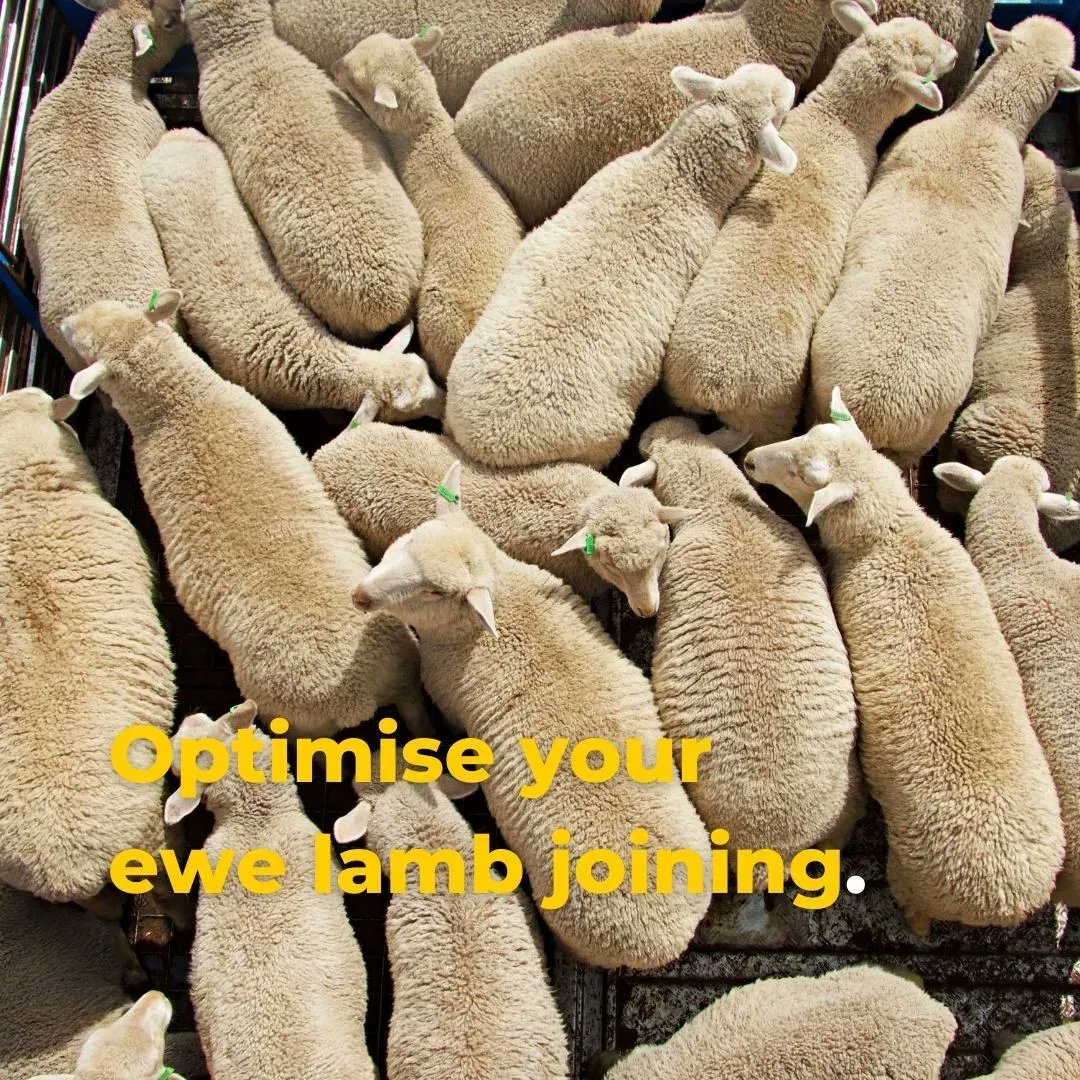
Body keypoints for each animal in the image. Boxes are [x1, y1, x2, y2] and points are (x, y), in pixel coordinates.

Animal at [58, 292, 423, 738]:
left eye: (82, 341)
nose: (65, 322)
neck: (182, 403)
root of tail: (357, 691)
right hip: (403, 672)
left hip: (296, 722)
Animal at [351, 463, 712, 969]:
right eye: (404, 542)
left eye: (434, 590)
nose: (359, 594)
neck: (497, 609)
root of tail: (662, 940)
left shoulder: (445, 697)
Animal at [742, 390, 1065, 932]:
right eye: (807, 434)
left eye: (805, 475)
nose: (748, 460)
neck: (891, 535)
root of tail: (1002, 897)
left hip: (911, 876)